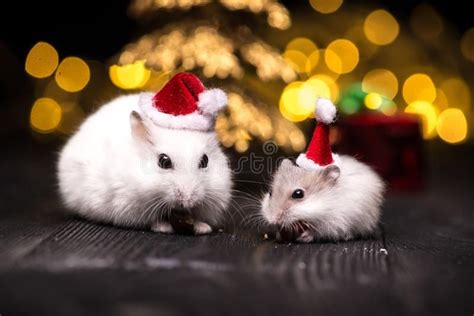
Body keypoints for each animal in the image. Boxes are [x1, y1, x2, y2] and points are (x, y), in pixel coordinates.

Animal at [57, 93, 231, 235]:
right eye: (164, 161)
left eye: (205, 161)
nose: (187, 200)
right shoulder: (129, 206)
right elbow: (152, 221)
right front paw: (165, 228)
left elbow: (199, 219)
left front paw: (203, 228)